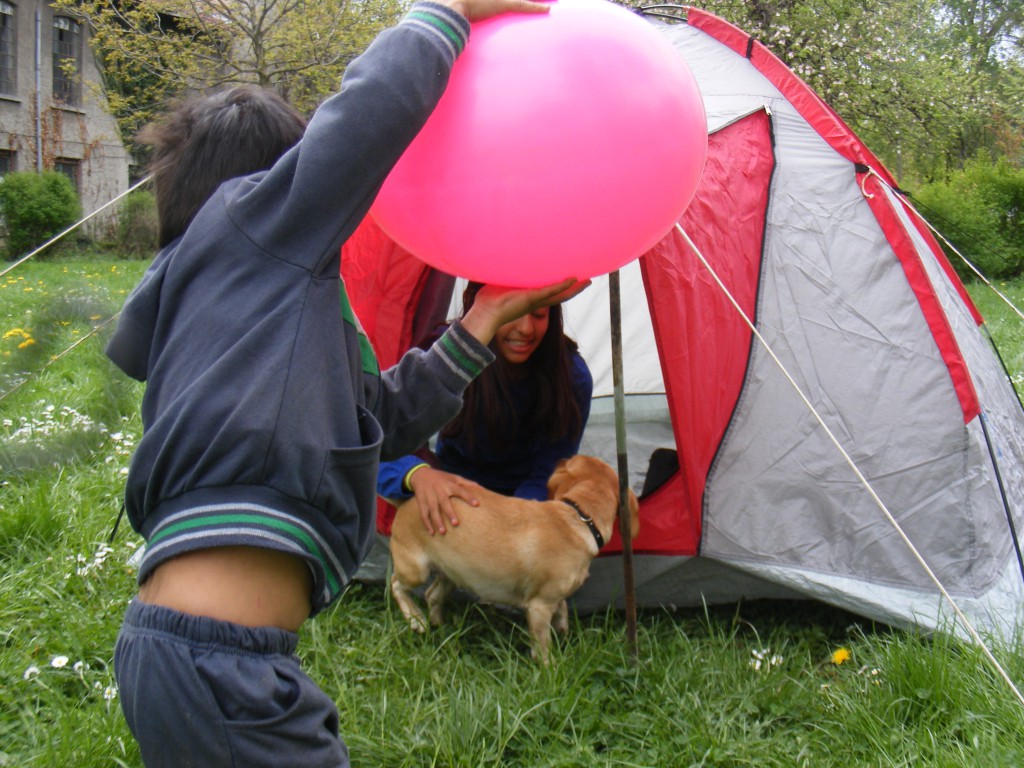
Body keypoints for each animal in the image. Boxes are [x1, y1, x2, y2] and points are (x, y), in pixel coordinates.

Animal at [387, 454, 634, 663]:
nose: (559, 459)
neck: (580, 517)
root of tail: (407, 501)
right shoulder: (539, 607)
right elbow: (543, 646)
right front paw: (549, 668)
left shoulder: (552, 596)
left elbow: (562, 606)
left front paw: (563, 627)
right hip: (416, 570)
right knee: (396, 584)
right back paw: (415, 618)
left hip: (451, 574)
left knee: (432, 595)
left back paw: (438, 625)